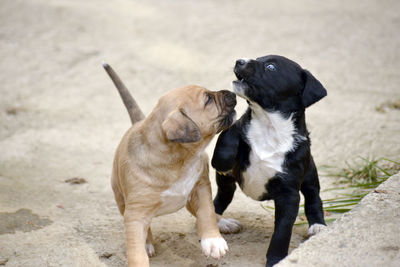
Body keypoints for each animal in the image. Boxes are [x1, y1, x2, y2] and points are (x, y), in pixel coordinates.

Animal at [102, 63, 238, 266]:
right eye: (208, 100)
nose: (232, 93)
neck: (180, 159)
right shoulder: (135, 213)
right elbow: (135, 248)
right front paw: (141, 251)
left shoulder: (201, 188)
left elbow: (207, 213)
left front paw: (213, 241)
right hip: (121, 199)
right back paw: (148, 243)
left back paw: (223, 222)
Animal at [212, 55, 328, 266]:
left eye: (271, 67)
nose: (239, 61)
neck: (269, 125)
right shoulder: (240, 125)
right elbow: (229, 132)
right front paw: (222, 161)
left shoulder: (289, 195)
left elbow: (282, 231)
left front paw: (275, 259)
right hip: (226, 184)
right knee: (221, 198)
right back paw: (221, 223)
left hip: (310, 174)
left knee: (313, 196)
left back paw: (318, 226)